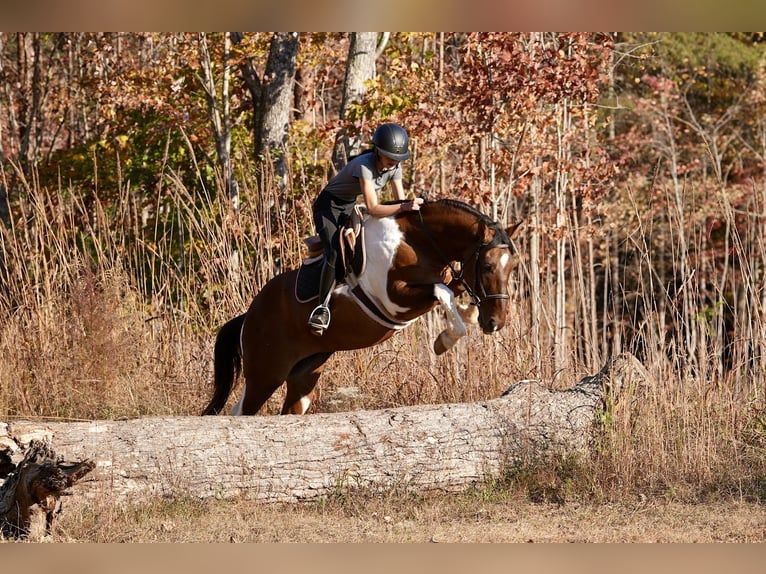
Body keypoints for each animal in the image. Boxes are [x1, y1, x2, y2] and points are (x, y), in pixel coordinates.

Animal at [202, 198, 521, 416]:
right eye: (488, 266)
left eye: (512, 267)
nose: (497, 322)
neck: (419, 241)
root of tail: (248, 316)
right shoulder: (395, 300)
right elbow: (442, 291)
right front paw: (444, 341)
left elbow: (452, 292)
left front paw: (465, 318)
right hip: (266, 372)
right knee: (242, 412)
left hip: (304, 373)